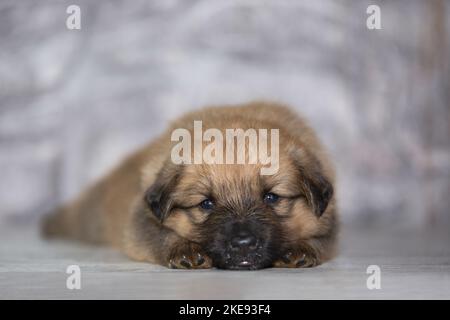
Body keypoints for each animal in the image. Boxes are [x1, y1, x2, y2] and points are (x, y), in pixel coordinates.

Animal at [42, 102, 338, 270]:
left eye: (272, 198)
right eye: (206, 203)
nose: (243, 244)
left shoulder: (328, 222)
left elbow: (321, 240)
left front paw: (300, 249)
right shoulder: (141, 221)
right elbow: (162, 236)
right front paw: (185, 251)